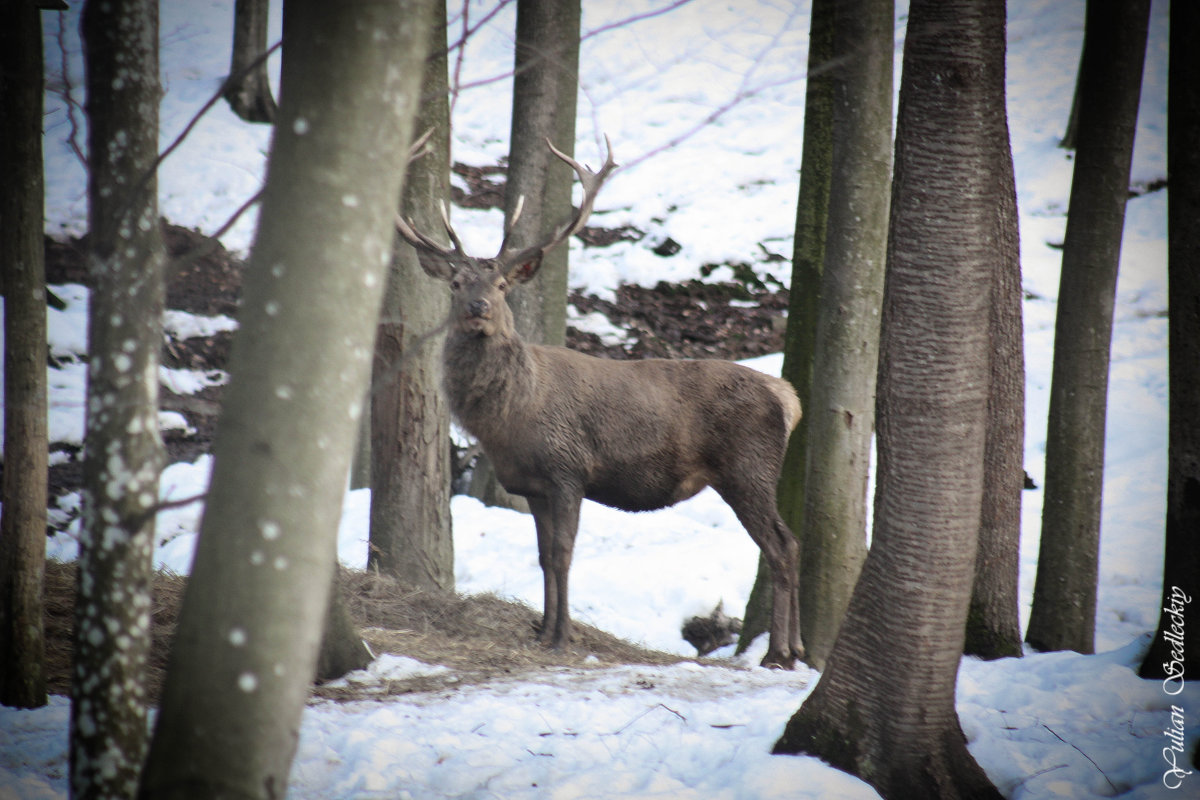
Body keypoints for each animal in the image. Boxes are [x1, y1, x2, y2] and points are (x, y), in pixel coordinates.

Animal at [396, 137, 806, 671]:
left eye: (502, 285)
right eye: (455, 283)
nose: (477, 308)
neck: (508, 422)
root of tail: (789, 398)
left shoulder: (568, 469)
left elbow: (564, 553)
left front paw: (561, 635)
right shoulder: (531, 485)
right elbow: (543, 555)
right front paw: (542, 630)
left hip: (748, 468)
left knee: (780, 545)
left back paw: (778, 653)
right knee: (792, 541)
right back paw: (797, 647)